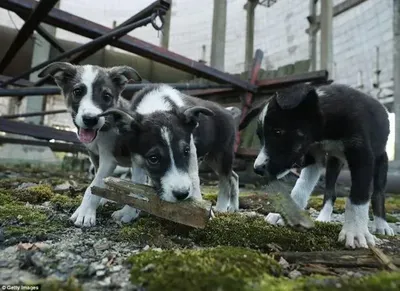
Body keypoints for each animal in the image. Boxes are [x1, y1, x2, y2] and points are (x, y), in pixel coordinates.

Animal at [38, 62, 148, 228]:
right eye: (77, 92)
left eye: (107, 96)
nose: (90, 119)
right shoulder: (95, 157)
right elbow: (96, 183)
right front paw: (100, 199)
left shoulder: (108, 159)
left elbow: (92, 187)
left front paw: (84, 213)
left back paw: (129, 212)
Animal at [100, 84, 241, 212]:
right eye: (153, 158)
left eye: (185, 151)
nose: (182, 195)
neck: (155, 106)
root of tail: (228, 111)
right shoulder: (136, 156)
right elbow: (137, 181)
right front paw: (129, 213)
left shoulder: (192, 151)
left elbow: (194, 178)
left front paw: (198, 206)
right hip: (211, 158)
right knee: (233, 176)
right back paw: (233, 207)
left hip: (222, 154)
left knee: (225, 181)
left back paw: (221, 208)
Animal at [241, 83, 394, 250]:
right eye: (260, 136)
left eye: (278, 132)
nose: (257, 169)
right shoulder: (313, 156)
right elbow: (300, 188)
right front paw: (290, 215)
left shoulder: (362, 155)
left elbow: (358, 196)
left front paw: (354, 232)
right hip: (334, 162)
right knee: (330, 193)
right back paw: (323, 218)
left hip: (381, 160)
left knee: (378, 194)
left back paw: (382, 225)